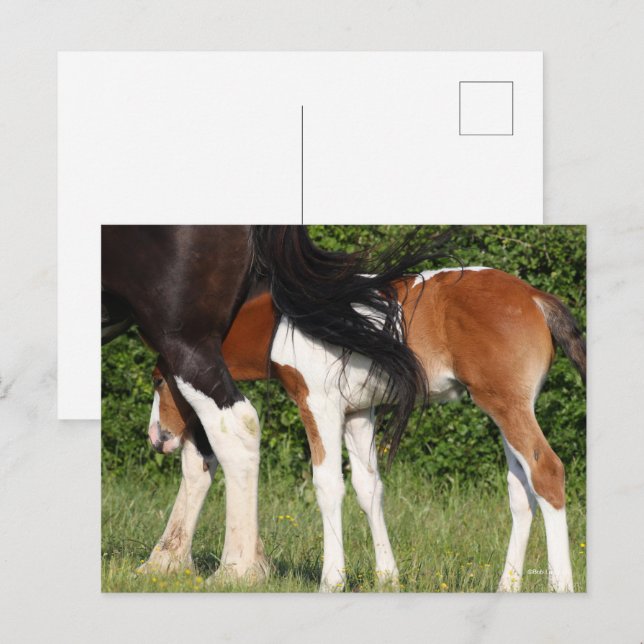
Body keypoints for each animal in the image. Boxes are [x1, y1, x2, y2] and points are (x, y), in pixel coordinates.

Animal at [102, 225, 434, 580]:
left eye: (158, 381)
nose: (156, 438)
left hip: (185, 339)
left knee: (236, 429)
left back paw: (237, 568)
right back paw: (169, 559)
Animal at [142, 266, 586, 592]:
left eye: (159, 381)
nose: (158, 437)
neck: (285, 323)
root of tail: (534, 297)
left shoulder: (319, 404)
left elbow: (328, 485)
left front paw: (331, 579)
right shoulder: (358, 413)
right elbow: (368, 488)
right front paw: (387, 577)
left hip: (507, 406)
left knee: (546, 472)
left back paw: (560, 586)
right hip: (506, 408)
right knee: (521, 490)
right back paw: (506, 586)